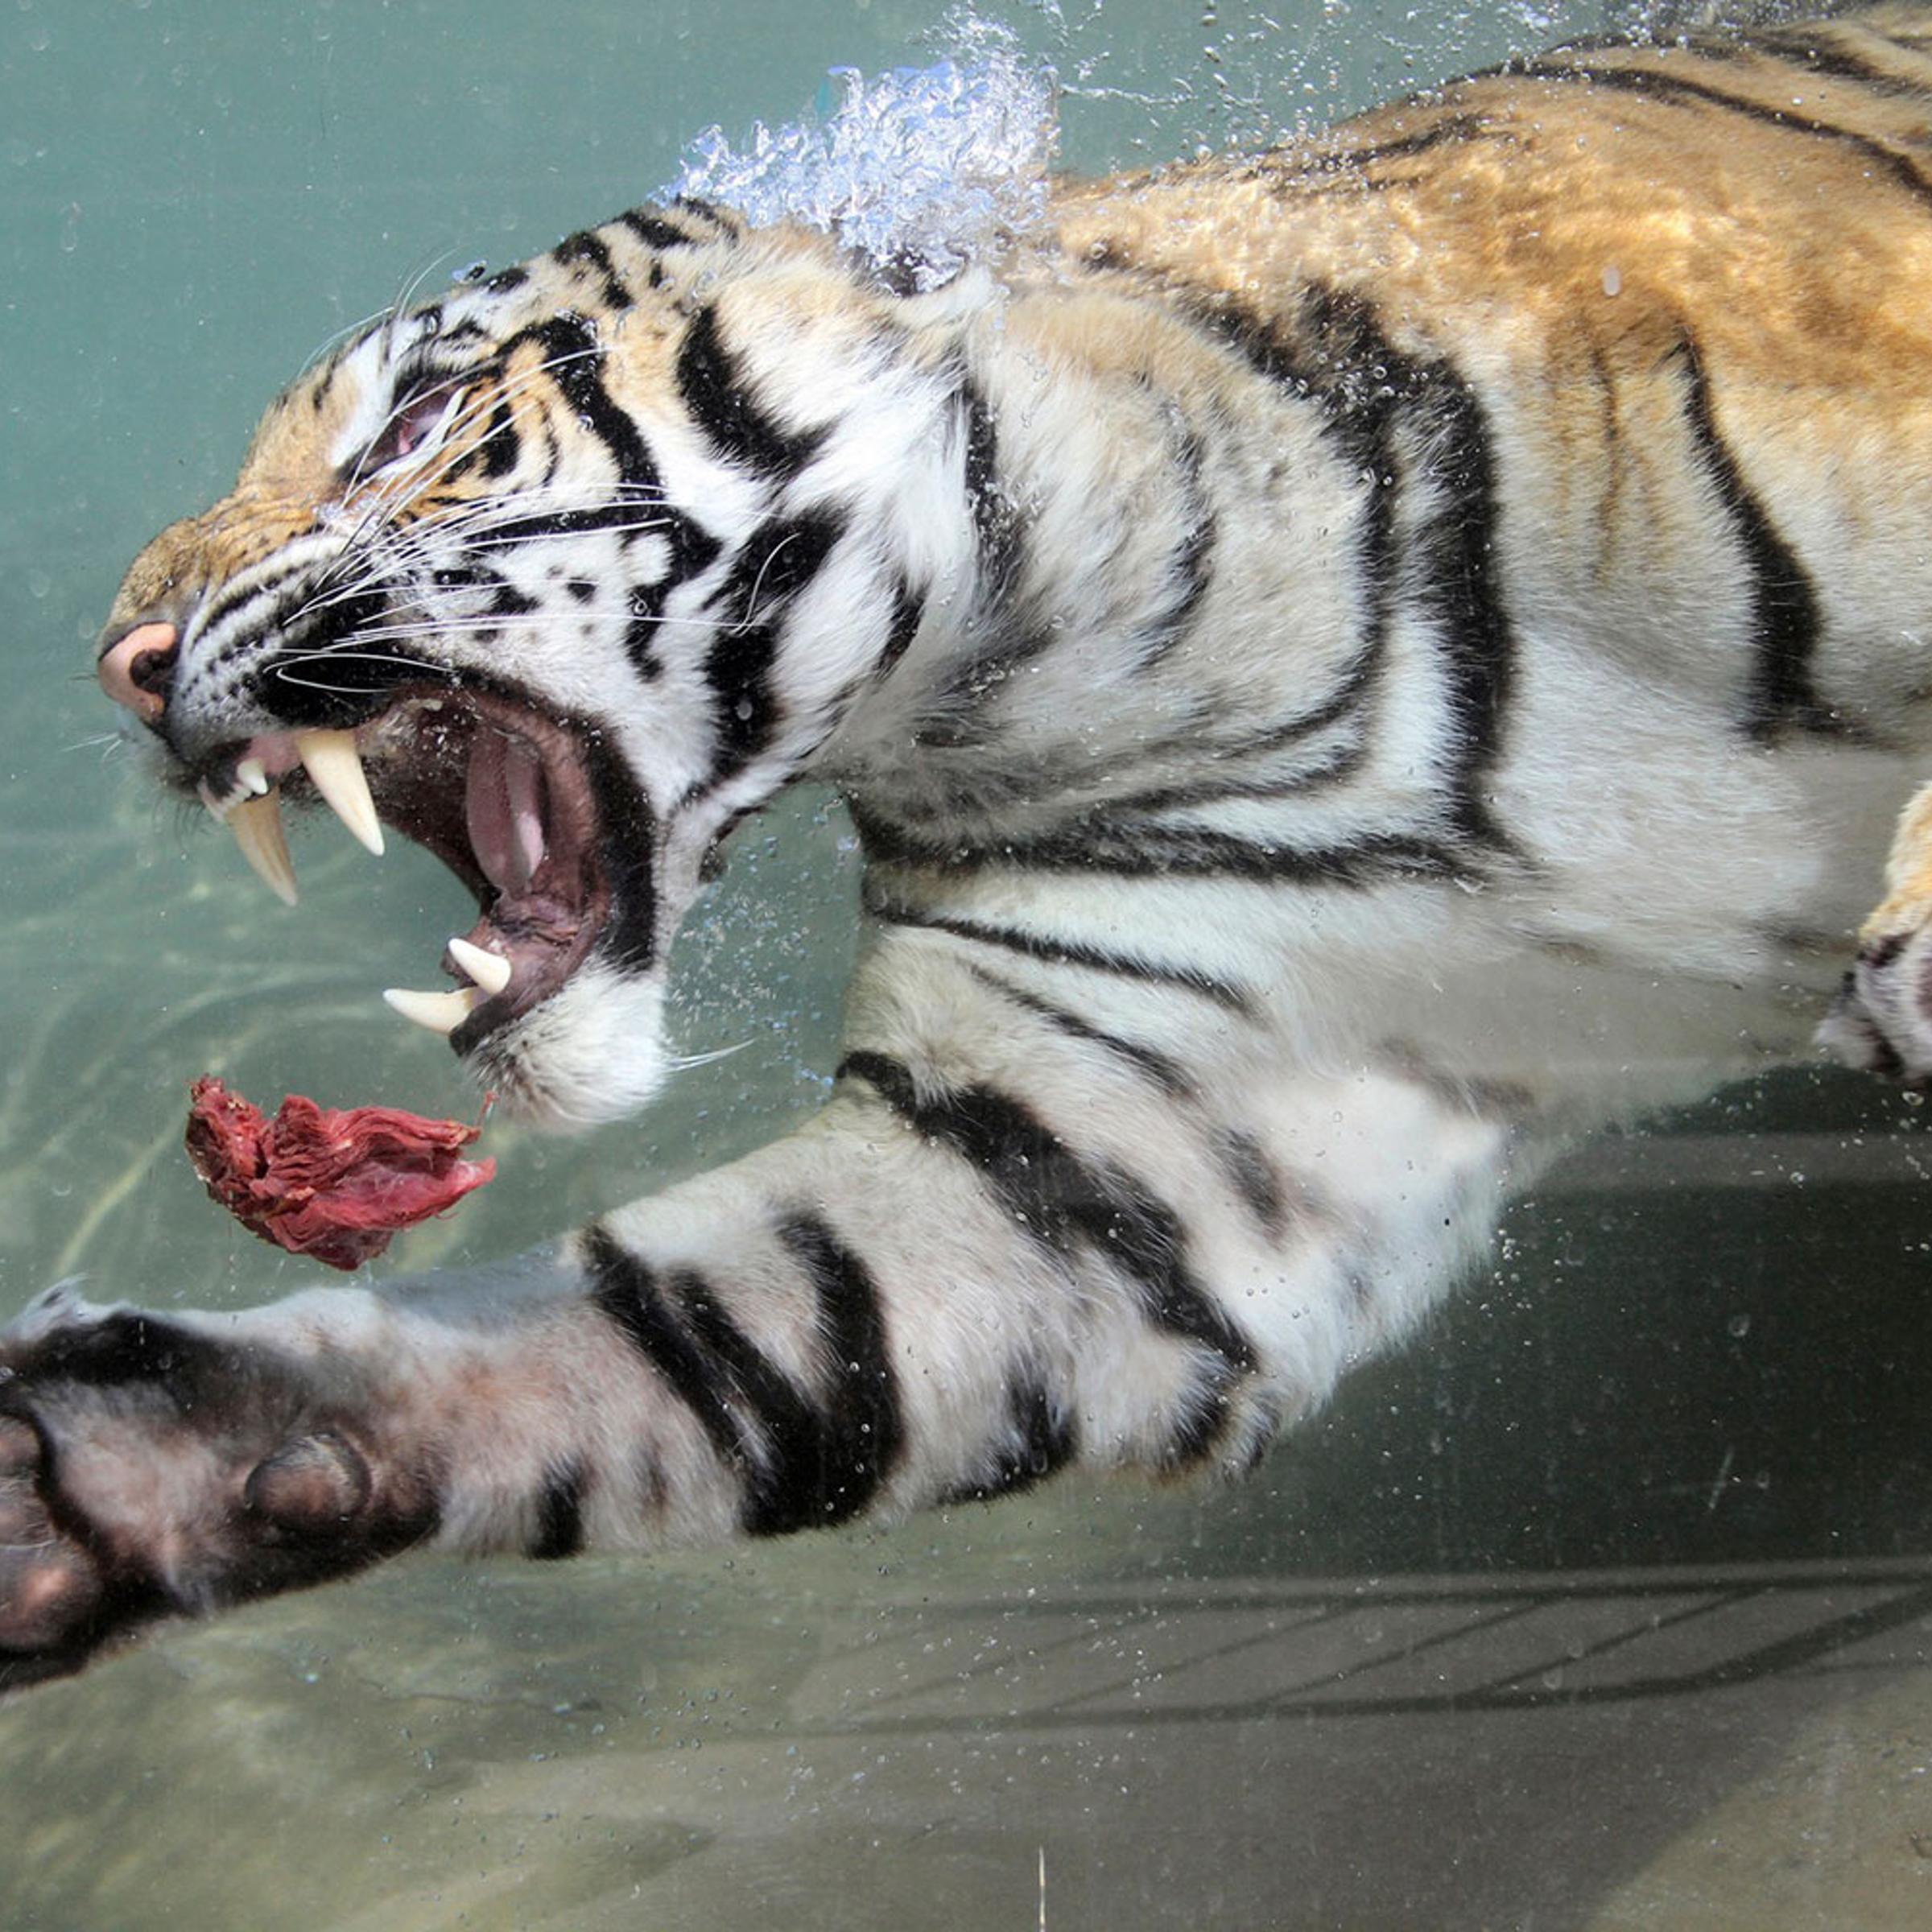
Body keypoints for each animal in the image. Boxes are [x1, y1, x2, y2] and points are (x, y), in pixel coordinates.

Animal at [3, 4, 1932, 1684]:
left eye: (410, 430)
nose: (121, 661)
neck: (1081, 673)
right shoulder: (1099, 1157)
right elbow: (676, 1333)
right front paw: (94, 1474)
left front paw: (1909, 947)